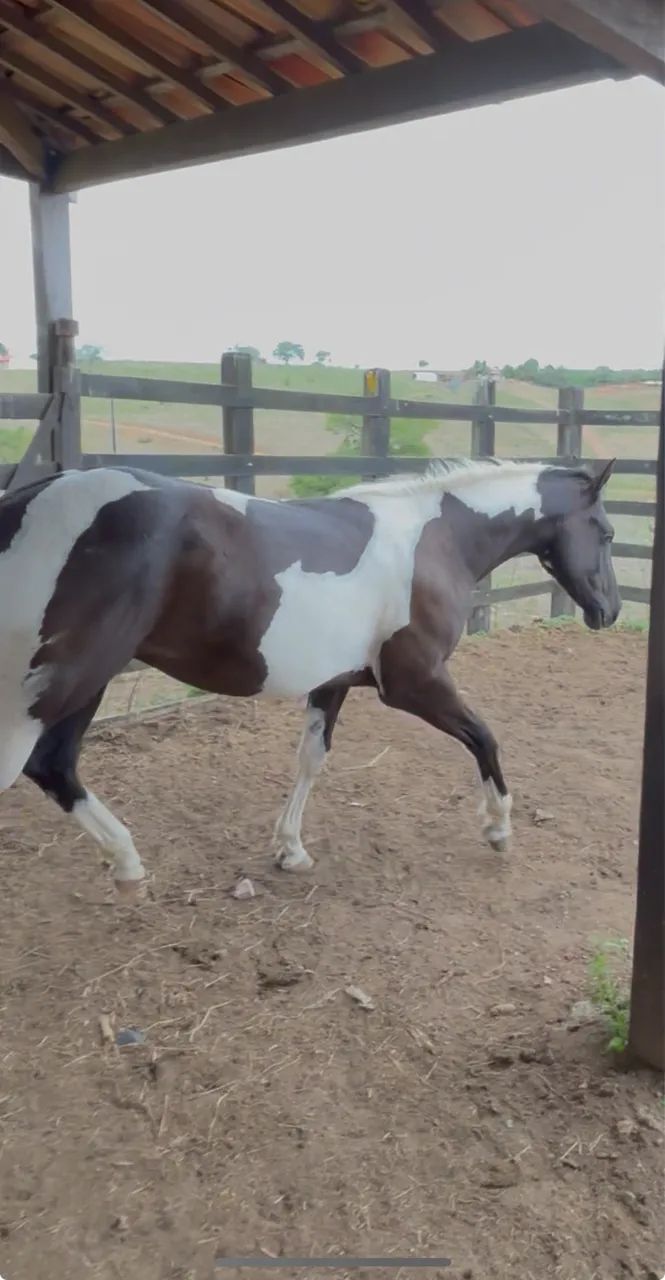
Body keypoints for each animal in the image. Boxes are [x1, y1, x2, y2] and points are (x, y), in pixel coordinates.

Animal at [0, 458, 619, 898]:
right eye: (608, 532)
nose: (608, 611)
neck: (436, 539)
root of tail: (31, 498)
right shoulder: (417, 684)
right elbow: (486, 738)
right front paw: (498, 829)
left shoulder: (334, 681)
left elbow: (311, 759)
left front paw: (290, 849)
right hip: (63, 684)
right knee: (39, 765)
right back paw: (127, 861)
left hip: (81, 684)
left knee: (54, 767)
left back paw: (125, 864)